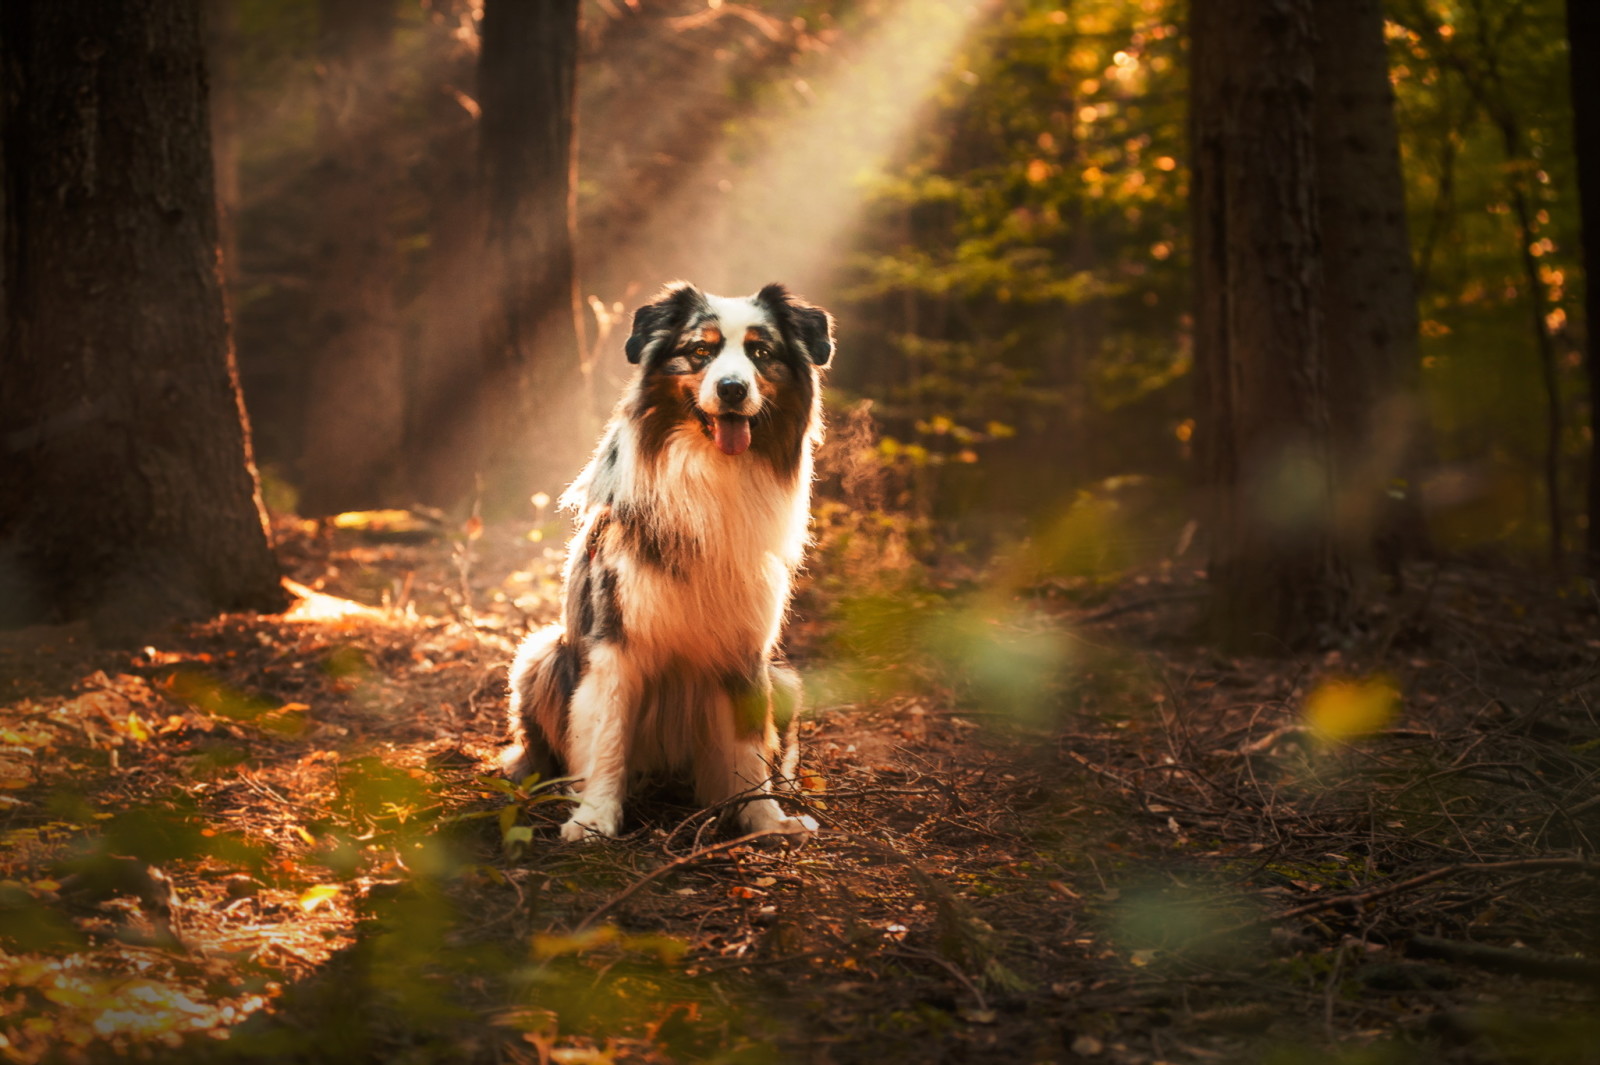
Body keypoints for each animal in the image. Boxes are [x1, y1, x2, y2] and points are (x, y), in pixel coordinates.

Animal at [502, 279, 838, 837]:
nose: (732, 389)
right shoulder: (614, 639)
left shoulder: (747, 645)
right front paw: (594, 818)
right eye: (700, 351)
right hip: (541, 655)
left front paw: (764, 817)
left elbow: (749, 744)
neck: (711, 473)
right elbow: (608, 735)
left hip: (785, 678)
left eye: (761, 353)